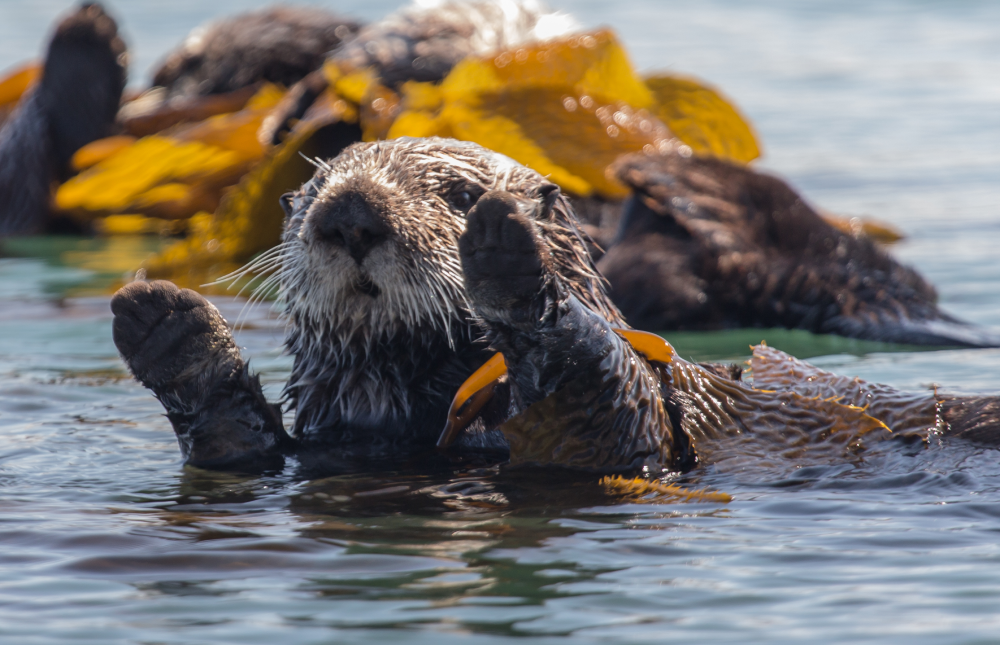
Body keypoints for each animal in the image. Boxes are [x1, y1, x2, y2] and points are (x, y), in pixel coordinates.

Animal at [111, 137, 1000, 475]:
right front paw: (169, 328)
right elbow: (234, 447)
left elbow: (610, 407)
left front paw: (508, 256)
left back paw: (686, 179)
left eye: (457, 193)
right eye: (310, 196)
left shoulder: (639, 433)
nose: (351, 212)